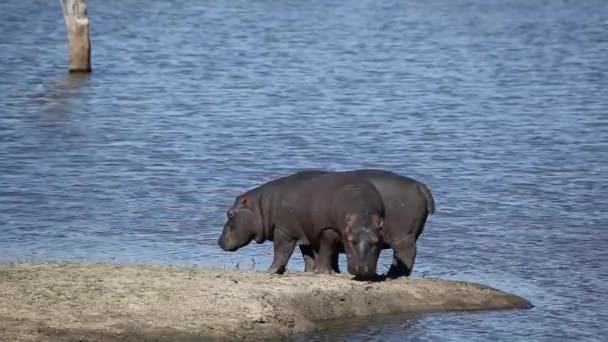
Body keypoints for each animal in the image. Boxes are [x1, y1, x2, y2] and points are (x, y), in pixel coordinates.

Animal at [216, 170, 382, 280]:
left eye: (230, 213)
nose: (218, 241)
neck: (261, 206)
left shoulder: (284, 231)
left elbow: (281, 252)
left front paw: (270, 272)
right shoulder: (303, 233)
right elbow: (307, 256)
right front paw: (308, 272)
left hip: (329, 231)